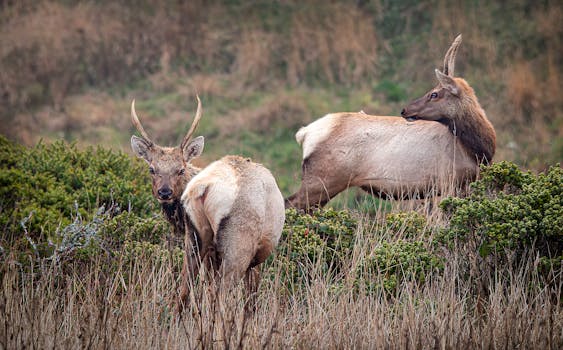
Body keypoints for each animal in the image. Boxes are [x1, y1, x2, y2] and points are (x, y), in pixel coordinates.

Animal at [130, 97, 284, 314]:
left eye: (180, 169)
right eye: (152, 169)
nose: (164, 192)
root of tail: (205, 187)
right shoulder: (255, 257)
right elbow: (250, 300)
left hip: (195, 238)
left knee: (185, 289)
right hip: (237, 244)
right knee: (220, 294)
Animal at [288, 34, 496, 211]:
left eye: (434, 94)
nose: (405, 110)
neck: (478, 151)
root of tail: (304, 134)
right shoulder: (447, 183)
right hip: (322, 180)